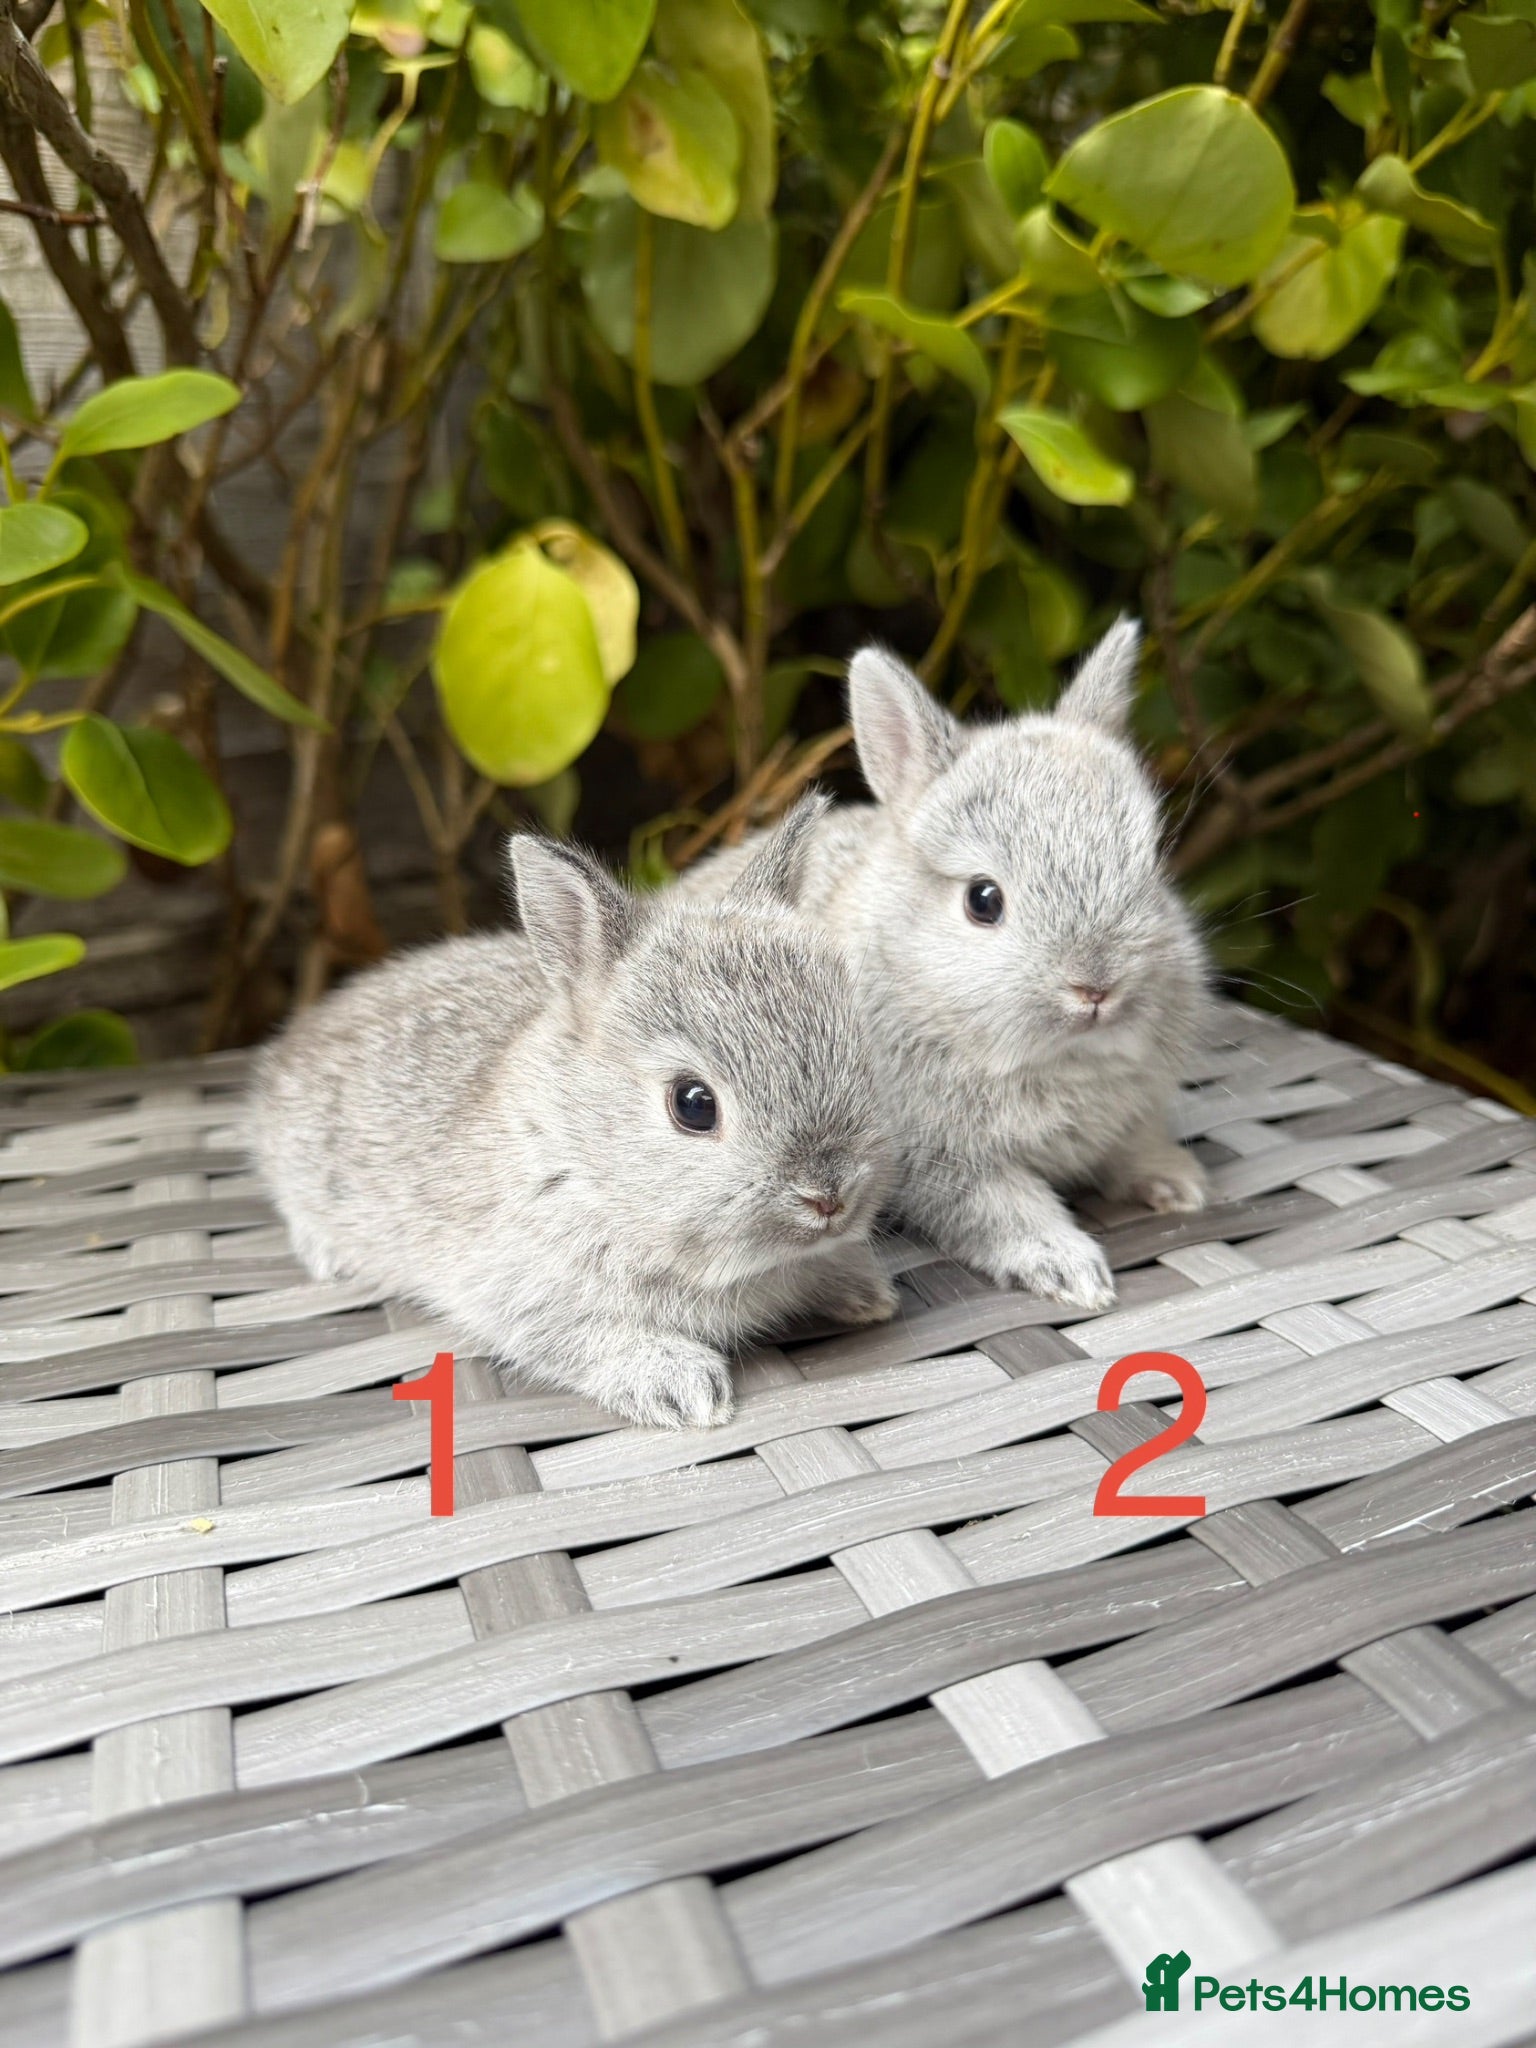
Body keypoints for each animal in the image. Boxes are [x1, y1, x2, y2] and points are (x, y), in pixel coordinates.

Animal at [249, 796, 897, 1429]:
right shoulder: (524, 1296)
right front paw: (686, 1392)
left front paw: (869, 1295)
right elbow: (584, 1340)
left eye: (860, 1047)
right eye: (693, 1105)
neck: (586, 1157)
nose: (829, 1195)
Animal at [677, 621, 1210, 1313]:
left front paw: (1180, 1185)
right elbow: (1005, 1209)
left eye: (1149, 872)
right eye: (983, 900)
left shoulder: (1129, 1119)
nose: (1095, 988)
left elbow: (1134, 1147)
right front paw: (1075, 1275)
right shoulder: (945, 1164)